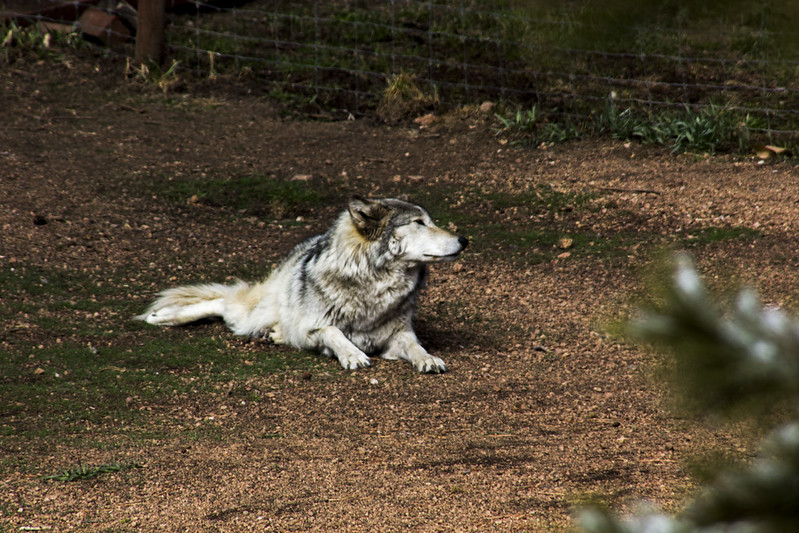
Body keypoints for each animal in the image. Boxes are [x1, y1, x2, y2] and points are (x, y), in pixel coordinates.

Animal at [137, 196, 468, 373]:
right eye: (419, 223)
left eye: (430, 221)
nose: (464, 239)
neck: (372, 285)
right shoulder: (313, 327)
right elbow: (335, 332)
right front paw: (352, 355)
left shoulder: (398, 334)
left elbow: (416, 345)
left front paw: (428, 359)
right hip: (250, 314)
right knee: (220, 302)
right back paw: (162, 317)